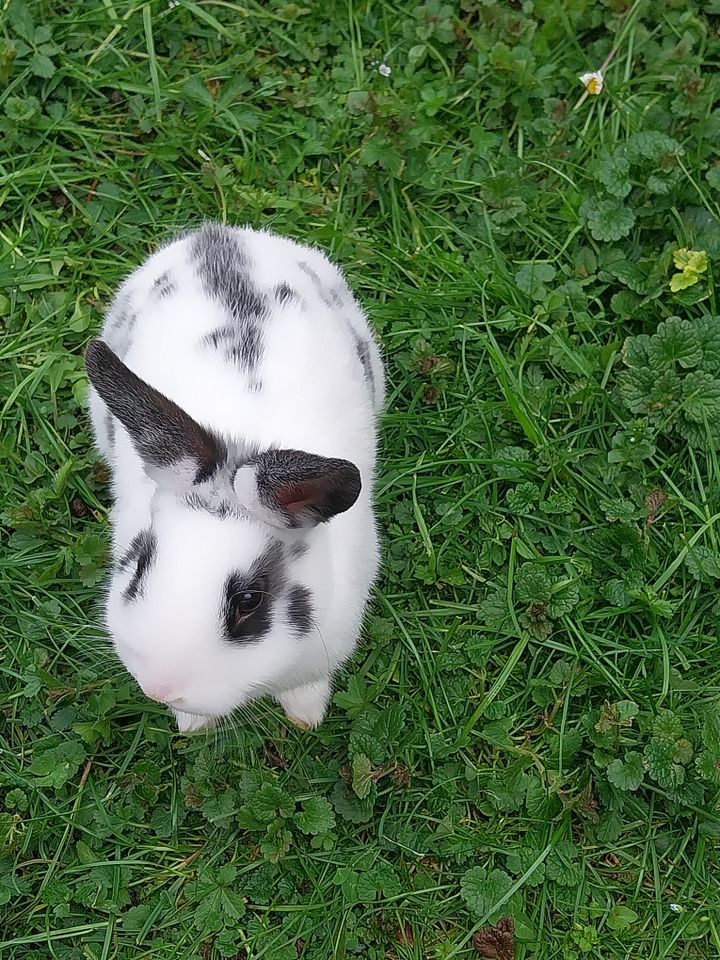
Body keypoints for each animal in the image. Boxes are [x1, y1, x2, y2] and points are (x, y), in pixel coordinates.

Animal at [85, 223, 386, 736]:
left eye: (248, 600)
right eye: (139, 564)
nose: (160, 687)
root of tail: (220, 235)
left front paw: (306, 717)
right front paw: (192, 724)